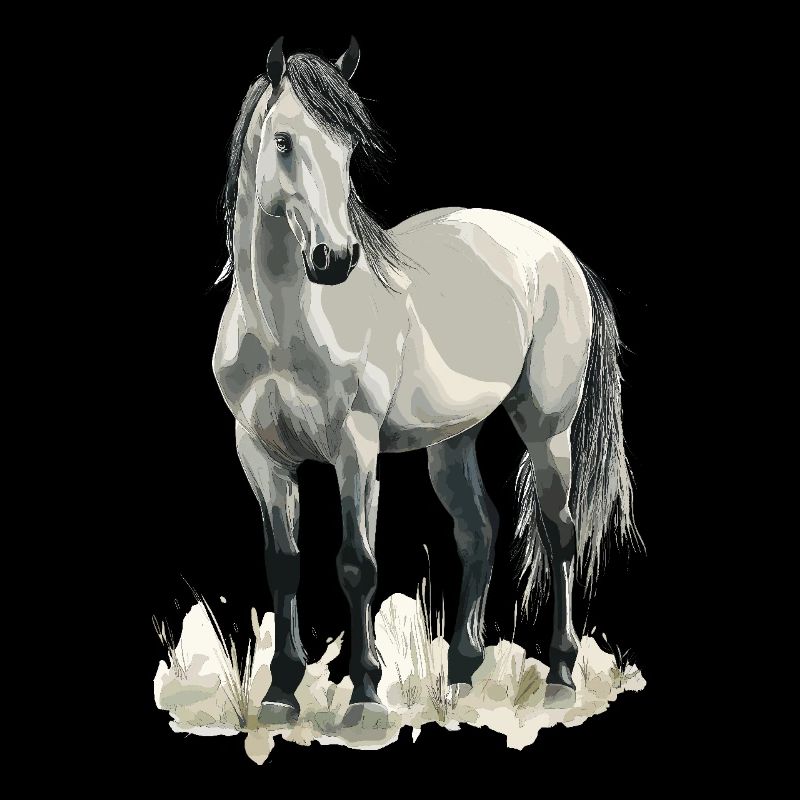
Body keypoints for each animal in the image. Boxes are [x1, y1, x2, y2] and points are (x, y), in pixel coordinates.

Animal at [212, 36, 640, 727]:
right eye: (283, 141)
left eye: (348, 149)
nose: (334, 259)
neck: (282, 327)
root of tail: (560, 254)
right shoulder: (260, 455)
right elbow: (284, 565)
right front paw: (281, 693)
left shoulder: (354, 451)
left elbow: (356, 564)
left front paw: (364, 695)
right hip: (451, 441)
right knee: (479, 530)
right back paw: (462, 673)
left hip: (548, 430)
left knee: (560, 531)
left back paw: (560, 674)